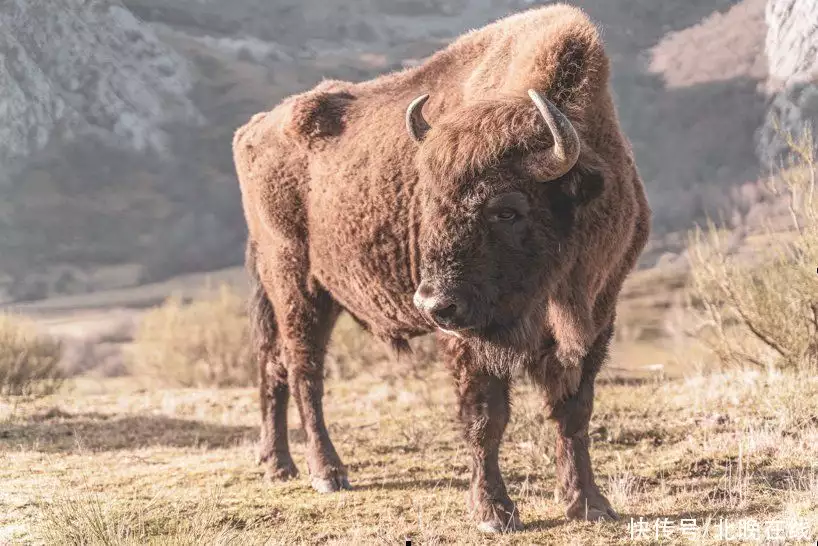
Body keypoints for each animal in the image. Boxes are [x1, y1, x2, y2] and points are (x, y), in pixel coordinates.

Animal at [231, 3, 652, 532]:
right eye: (429, 200)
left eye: (507, 209)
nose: (432, 304)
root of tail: (252, 129)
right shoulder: (468, 339)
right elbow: (486, 417)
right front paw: (493, 513)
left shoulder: (598, 317)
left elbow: (574, 412)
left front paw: (591, 505)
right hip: (295, 283)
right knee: (304, 368)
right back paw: (327, 473)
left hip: (301, 293)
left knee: (273, 365)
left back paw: (277, 465)